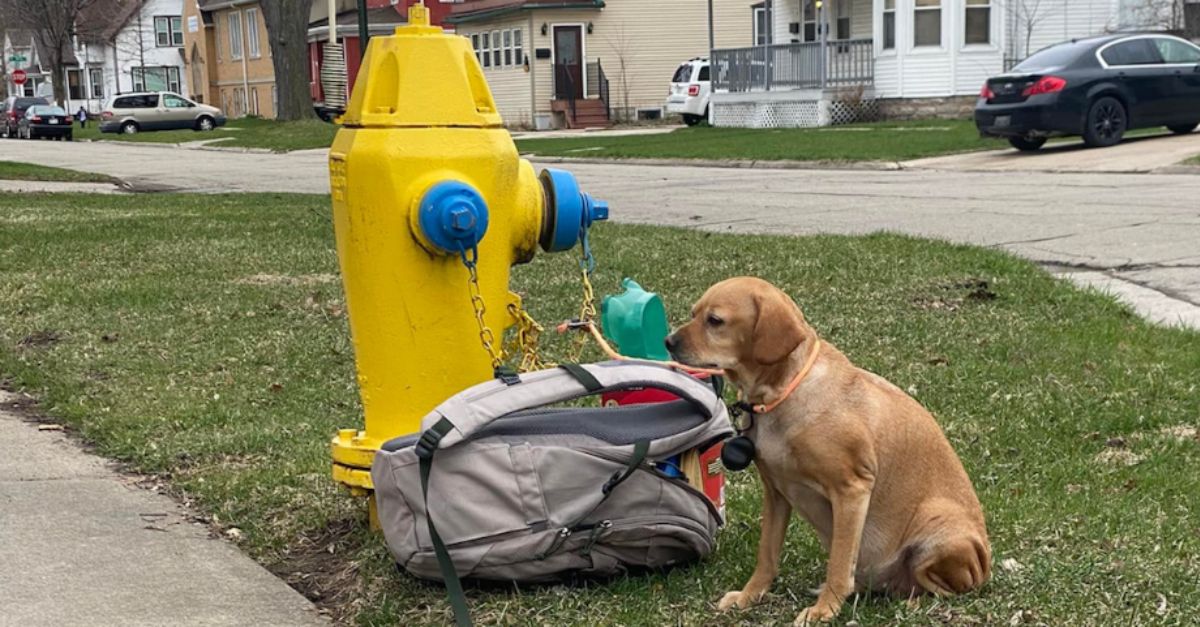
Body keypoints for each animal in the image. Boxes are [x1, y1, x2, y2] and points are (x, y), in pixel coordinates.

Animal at [662, 277, 988, 619]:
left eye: (715, 320)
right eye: (694, 313)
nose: (668, 341)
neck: (782, 394)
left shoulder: (852, 490)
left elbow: (840, 564)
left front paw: (824, 609)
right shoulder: (776, 493)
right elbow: (767, 556)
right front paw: (750, 596)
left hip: (939, 532)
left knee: (944, 587)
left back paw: (912, 600)